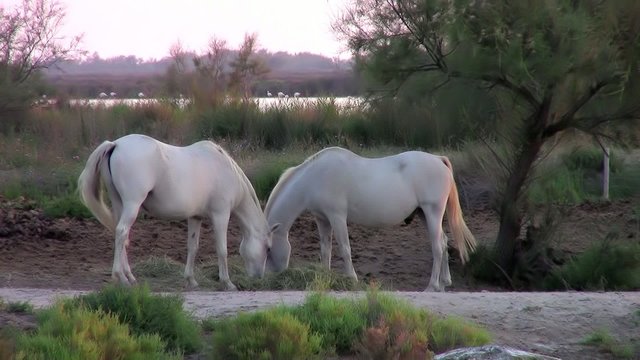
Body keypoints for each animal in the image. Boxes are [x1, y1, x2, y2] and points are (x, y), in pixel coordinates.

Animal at [77, 134, 276, 292]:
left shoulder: (196, 217)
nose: (258, 277)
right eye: (267, 248)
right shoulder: (221, 215)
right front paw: (227, 283)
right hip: (132, 204)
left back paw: (130, 277)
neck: (224, 167)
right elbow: (222, 249)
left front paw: (191, 280)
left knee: (122, 236)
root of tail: (115, 144)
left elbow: (193, 247)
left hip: (120, 204)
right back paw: (121, 277)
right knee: (121, 232)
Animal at [264, 148, 476, 292]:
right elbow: (326, 250)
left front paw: (352, 279)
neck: (315, 177)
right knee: (444, 241)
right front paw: (325, 277)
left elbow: (345, 249)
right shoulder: (322, 219)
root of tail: (438, 160)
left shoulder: (337, 217)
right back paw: (444, 283)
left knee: (438, 247)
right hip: (425, 215)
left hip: (432, 213)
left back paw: (432, 286)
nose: (269, 277)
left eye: (268, 249)